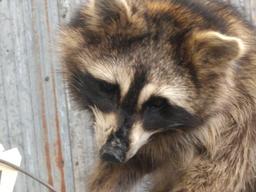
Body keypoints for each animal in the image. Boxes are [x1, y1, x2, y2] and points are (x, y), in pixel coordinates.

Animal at [59, 0, 256, 191]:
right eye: (109, 89)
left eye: (156, 104)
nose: (112, 153)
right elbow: (127, 165)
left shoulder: (237, 125)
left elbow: (214, 175)